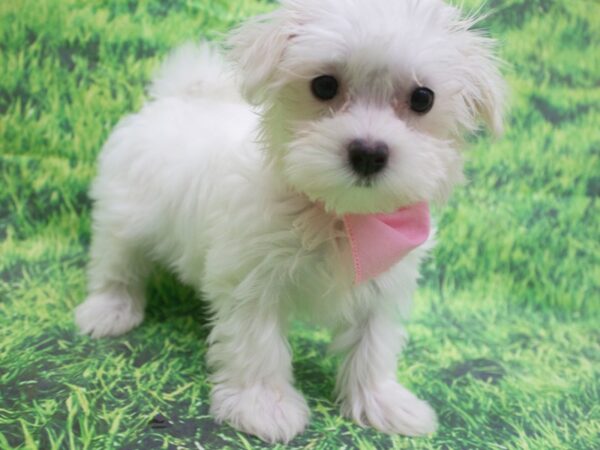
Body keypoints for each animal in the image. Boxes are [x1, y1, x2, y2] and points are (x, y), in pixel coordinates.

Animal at [76, 0, 506, 442]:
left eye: (422, 98)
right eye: (324, 86)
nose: (368, 153)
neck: (338, 215)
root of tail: (180, 97)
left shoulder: (385, 278)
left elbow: (374, 343)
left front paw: (382, 402)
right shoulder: (251, 277)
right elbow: (257, 343)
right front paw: (265, 407)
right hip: (126, 209)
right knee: (116, 261)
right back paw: (109, 311)